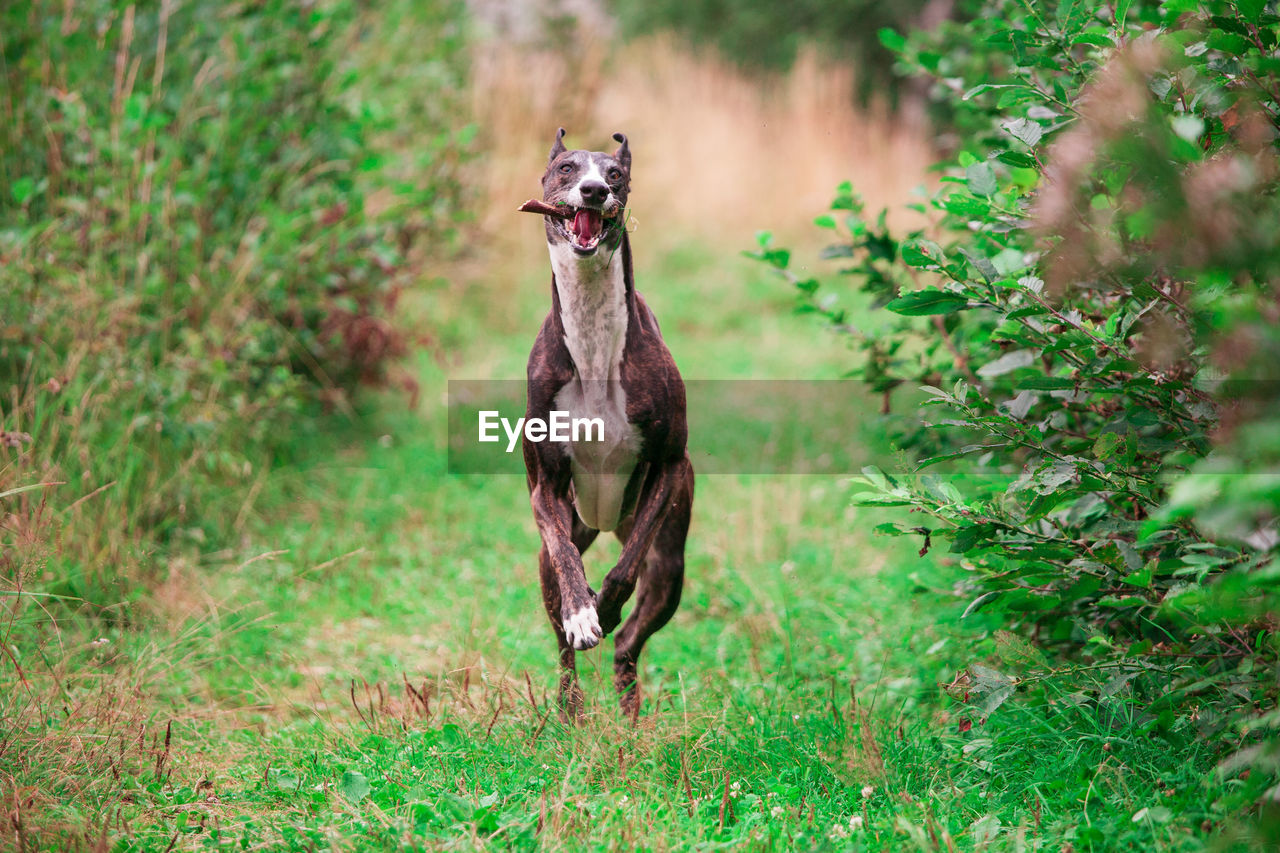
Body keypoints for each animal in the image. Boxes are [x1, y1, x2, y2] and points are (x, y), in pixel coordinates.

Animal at [522, 129, 696, 722]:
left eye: (615, 175)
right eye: (567, 168)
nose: (595, 191)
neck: (594, 337)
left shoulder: (668, 468)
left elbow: (625, 568)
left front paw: (607, 603)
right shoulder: (546, 489)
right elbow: (567, 560)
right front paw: (583, 611)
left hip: (669, 565)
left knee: (628, 640)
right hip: (558, 549)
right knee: (562, 642)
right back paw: (571, 709)